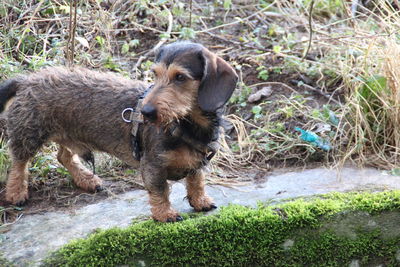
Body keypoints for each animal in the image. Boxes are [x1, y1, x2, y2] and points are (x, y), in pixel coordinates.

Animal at [0, 41, 238, 222]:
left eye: (180, 77)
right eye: (155, 74)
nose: (146, 112)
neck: (185, 124)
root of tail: (26, 80)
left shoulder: (198, 161)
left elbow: (196, 182)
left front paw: (201, 202)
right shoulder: (152, 165)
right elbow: (160, 190)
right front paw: (165, 214)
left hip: (68, 134)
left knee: (63, 156)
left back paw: (86, 179)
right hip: (29, 134)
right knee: (19, 163)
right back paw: (16, 192)